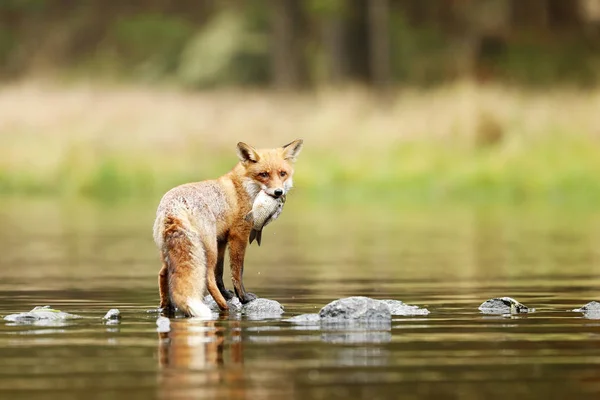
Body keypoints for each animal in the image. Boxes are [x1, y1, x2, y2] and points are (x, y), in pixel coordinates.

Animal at [152, 139, 302, 318]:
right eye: (264, 174)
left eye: (282, 173)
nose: (278, 192)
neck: (242, 189)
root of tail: (173, 206)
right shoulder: (239, 235)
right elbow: (237, 271)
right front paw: (243, 297)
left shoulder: (222, 239)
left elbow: (220, 273)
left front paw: (227, 293)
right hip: (208, 249)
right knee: (207, 279)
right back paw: (224, 308)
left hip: (172, 251)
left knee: (163, 273)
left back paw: (166, 307)